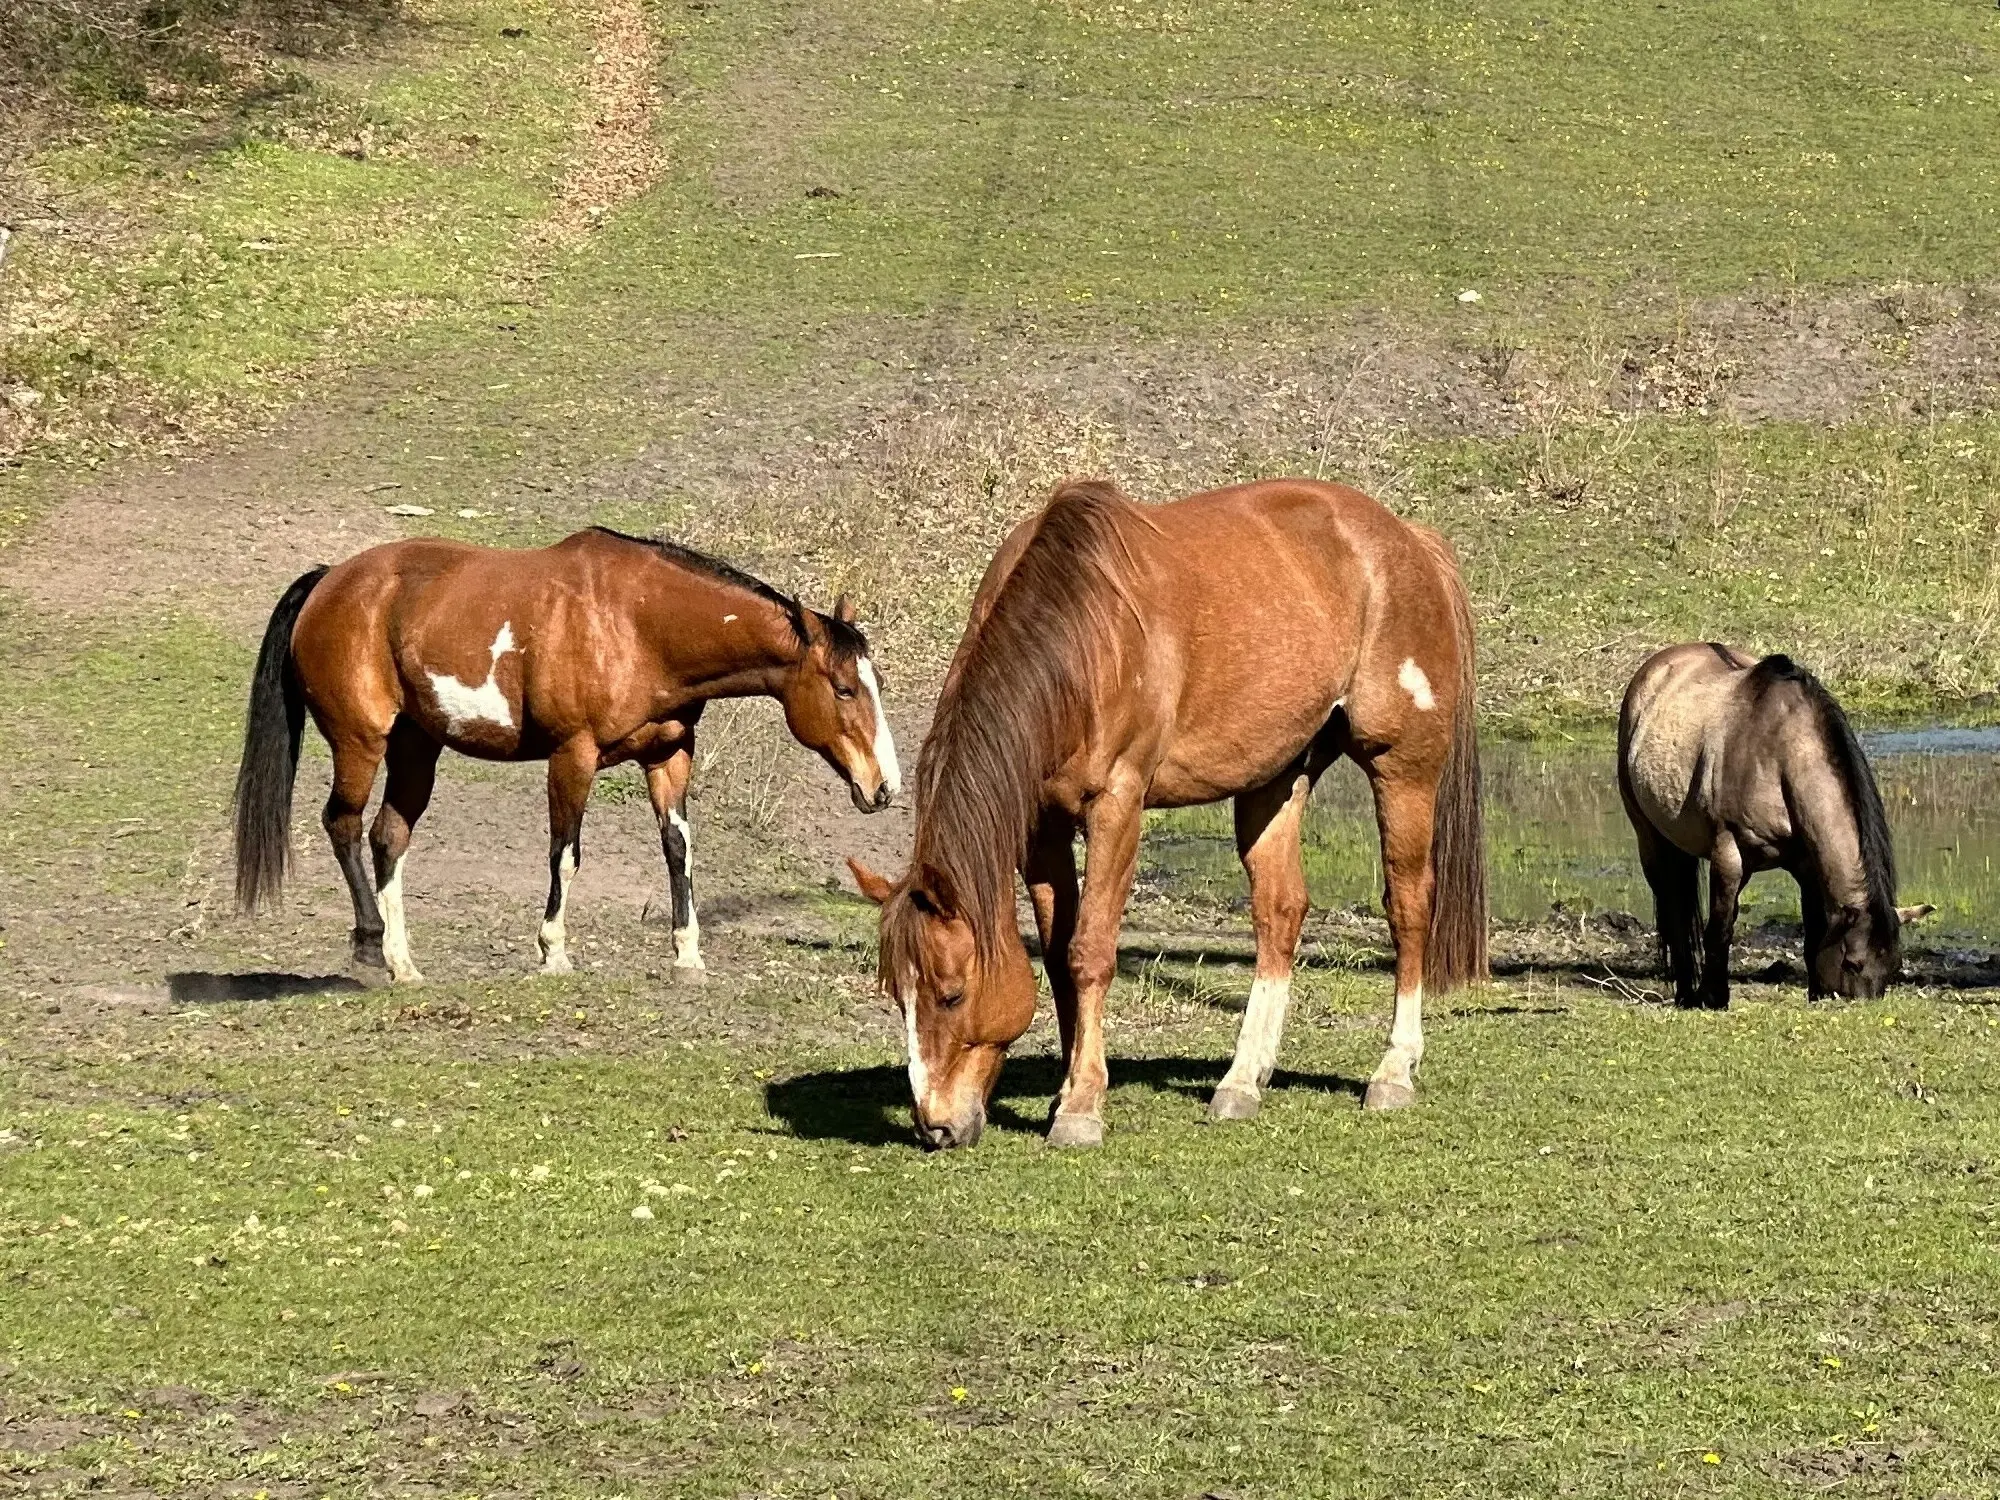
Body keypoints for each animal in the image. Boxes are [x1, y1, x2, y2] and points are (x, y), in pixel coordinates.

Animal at [229, 528, 908, 988]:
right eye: (843, 689)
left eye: (873, 684)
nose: (885, 787)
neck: (637, 626)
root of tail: (330, 579)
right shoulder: (572, 756)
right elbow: (567, 852)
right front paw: (553, 949)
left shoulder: (670, 754)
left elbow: (678, 849)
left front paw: (688, 953)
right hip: (361, 741)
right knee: (342, 823)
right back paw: (371, 946)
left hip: (417, 746)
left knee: (387, 836)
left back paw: (403, 963)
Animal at [844, 482, 1488, 1152]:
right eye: (897, 997)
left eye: (951, 995)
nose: (935, 1126)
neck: (1083, 634)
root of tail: (1409, 540)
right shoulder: (1043, 827)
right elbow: (1057, 956)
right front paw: (1066, 1090)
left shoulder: (1117, 807)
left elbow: (1090, 951)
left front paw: (1081, 1108)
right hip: (1276, 778)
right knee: (1279, 912)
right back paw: (1242, 1080)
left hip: (1402, 768)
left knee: (1408, 905)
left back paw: (1394, 1070)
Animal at [1616, 644, 1928, 1012]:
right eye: (1853, 963)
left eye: (1894, 967)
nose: (1859, 1007)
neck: (1778, 756)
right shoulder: (1729, 856)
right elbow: (1719, 928)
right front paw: (1713, 997)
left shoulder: (1807, 865)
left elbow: (1814, 929)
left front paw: (1815, 992)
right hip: (1650, 839)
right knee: (1674, 910)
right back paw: (1686, 992)